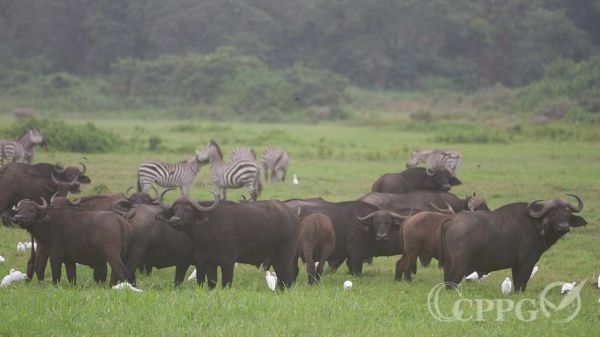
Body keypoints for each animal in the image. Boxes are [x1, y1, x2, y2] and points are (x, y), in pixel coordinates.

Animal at [158, 192, 300, 288]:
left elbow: (226, 283)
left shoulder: (228, 261)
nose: (174, 220)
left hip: (286, 256)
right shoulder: (209, 262)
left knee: (287, 277)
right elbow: (212, 283)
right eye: (175, 209)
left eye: (188, 209)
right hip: (275, 258)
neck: (210, 226)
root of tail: (293, 215)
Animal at [440, 194, 584, 292]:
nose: (563, 227)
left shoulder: (515, 265)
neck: (535, 224)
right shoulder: (527, 262)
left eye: (567, 214)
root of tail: (452, 220)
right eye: (553, 214)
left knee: (447, 281)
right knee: (452, 281)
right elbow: (522, 283)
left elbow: (516, 283)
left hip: (448, 263)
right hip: (460, 264)